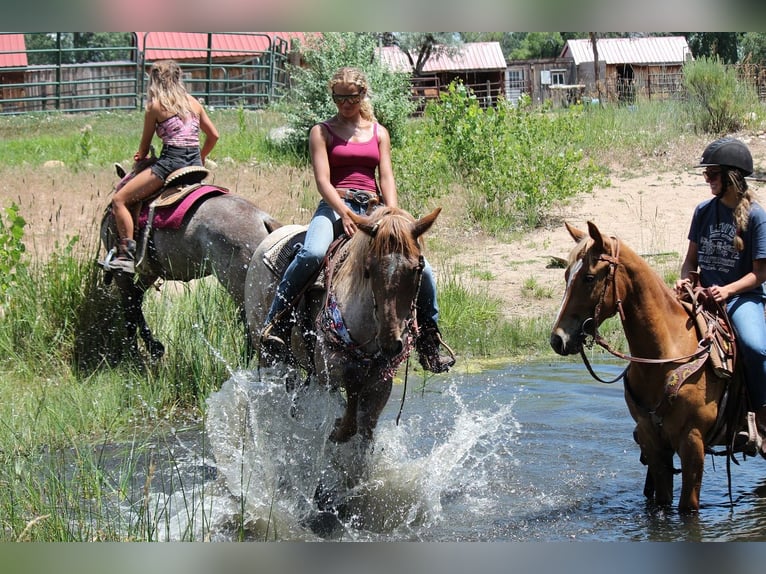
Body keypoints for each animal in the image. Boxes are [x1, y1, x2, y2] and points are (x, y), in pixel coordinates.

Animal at [99, 157, 282, 362]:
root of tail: (263, 220)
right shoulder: (149, 272)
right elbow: (136, 300)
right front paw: (153, 347)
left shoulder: (123, 274)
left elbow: (130, 307)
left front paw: (134, 352)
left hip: (240, 288)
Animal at [245, 205, 441, 450]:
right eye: (368, 268)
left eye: (417, 268)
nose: (390, 344)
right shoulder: (329, 368)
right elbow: (350, 410)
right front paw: (335, 431)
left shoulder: (382, 380)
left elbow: (365, 428)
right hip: (269, 354)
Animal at [549, 221, 754, 514]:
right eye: (566, 275)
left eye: (589, 278)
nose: (558, 339)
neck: (664, 357)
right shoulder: (653, 443)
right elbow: (663, 503)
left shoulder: (692, 443)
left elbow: (687, 509)